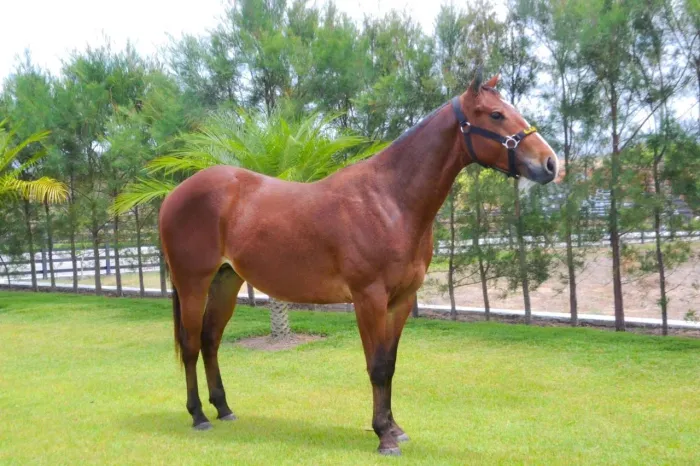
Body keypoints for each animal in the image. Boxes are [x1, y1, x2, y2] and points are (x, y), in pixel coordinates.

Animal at [158, 71, 558, 456]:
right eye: (496, 114)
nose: (551, 163)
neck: (389, 201)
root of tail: (175, 194)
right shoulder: (369, 298)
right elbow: (377, 366)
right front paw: (384, 437)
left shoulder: (401, 300)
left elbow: (390, 364)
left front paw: (395, 428)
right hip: (193, 283)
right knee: (191, 345)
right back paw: (198, 416)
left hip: (226, 281)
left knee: (210, 341)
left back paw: (223, 409)